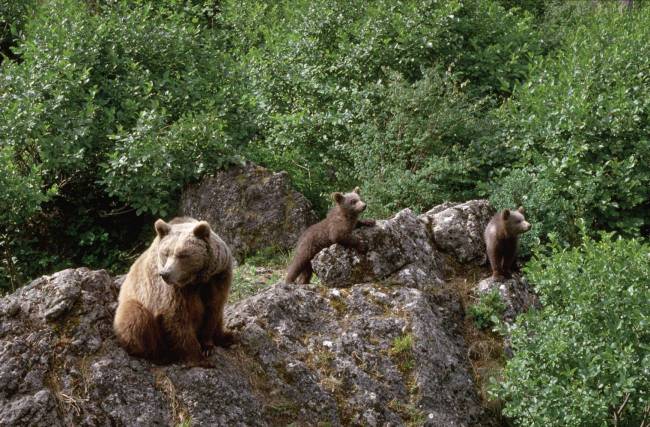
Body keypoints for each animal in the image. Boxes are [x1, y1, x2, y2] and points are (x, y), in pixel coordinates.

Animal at [113, 217, 234, 367]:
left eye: (182, 254)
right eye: (166, 253)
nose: (165, 274)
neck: (195, 280)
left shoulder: (217, 277)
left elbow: (214, 309)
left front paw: (207, 346)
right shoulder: (171, 291)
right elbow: (177, 317)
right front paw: (199, 358)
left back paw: (226, 337)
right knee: (135, 317)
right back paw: (160, 356)